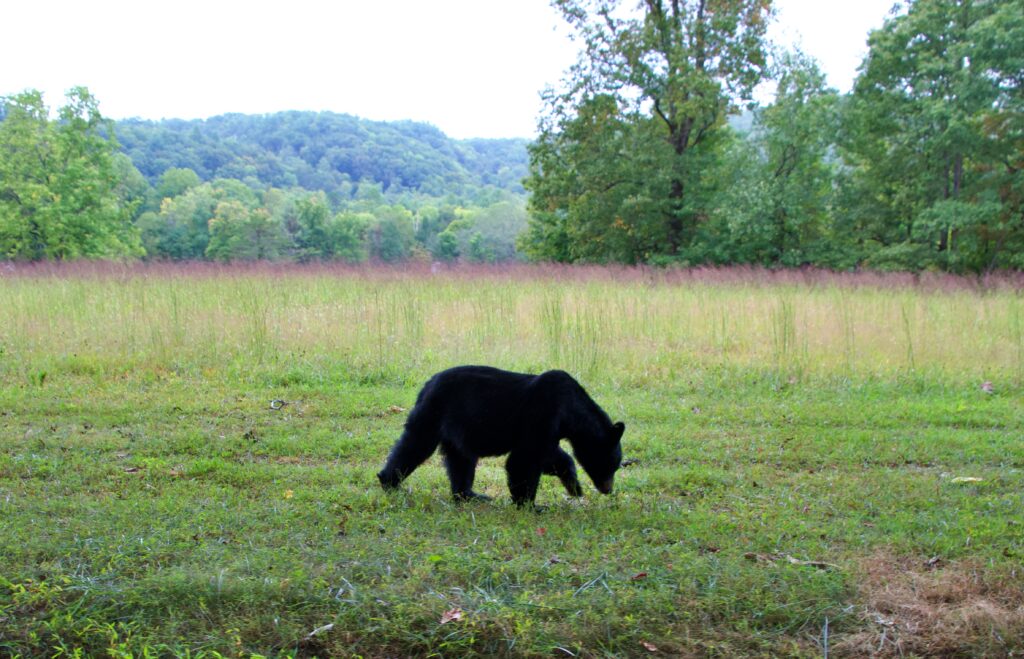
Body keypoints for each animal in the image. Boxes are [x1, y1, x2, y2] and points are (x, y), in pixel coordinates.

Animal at [377, 365, 625, 507]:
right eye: (612, 464)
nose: (608, 489)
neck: (570, 410)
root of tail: (426, 385)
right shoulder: (542, 412)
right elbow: (524, 459)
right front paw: (530, 505)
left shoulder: (549, 427)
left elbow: (550, 455)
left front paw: (574, 486)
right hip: (434, 412)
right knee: (416, 444)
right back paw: (389, 481)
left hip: (458, 429)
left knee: (461, 460)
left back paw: (470, 495)